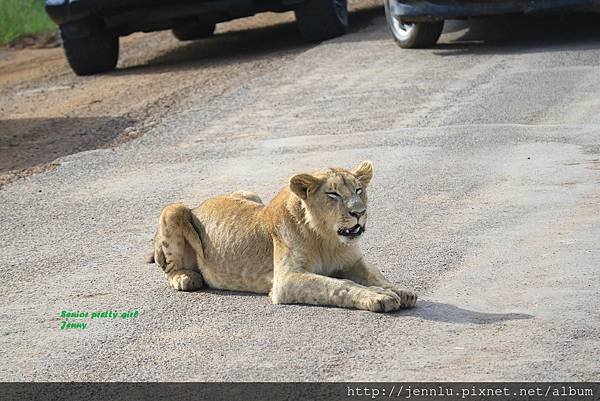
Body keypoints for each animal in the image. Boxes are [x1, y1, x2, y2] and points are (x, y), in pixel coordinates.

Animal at [145, 161, 418, 310]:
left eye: (359, 190)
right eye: (333, 194)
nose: (360, 213)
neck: (327, 238)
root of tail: (199, 205)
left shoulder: (353, 262)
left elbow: (375, 275)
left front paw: (399, 290)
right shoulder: (286, 280)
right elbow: (341, 285)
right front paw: (379, 296)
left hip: (250, 192)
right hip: (173, 209)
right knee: (169, 268)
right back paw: (185, 278)